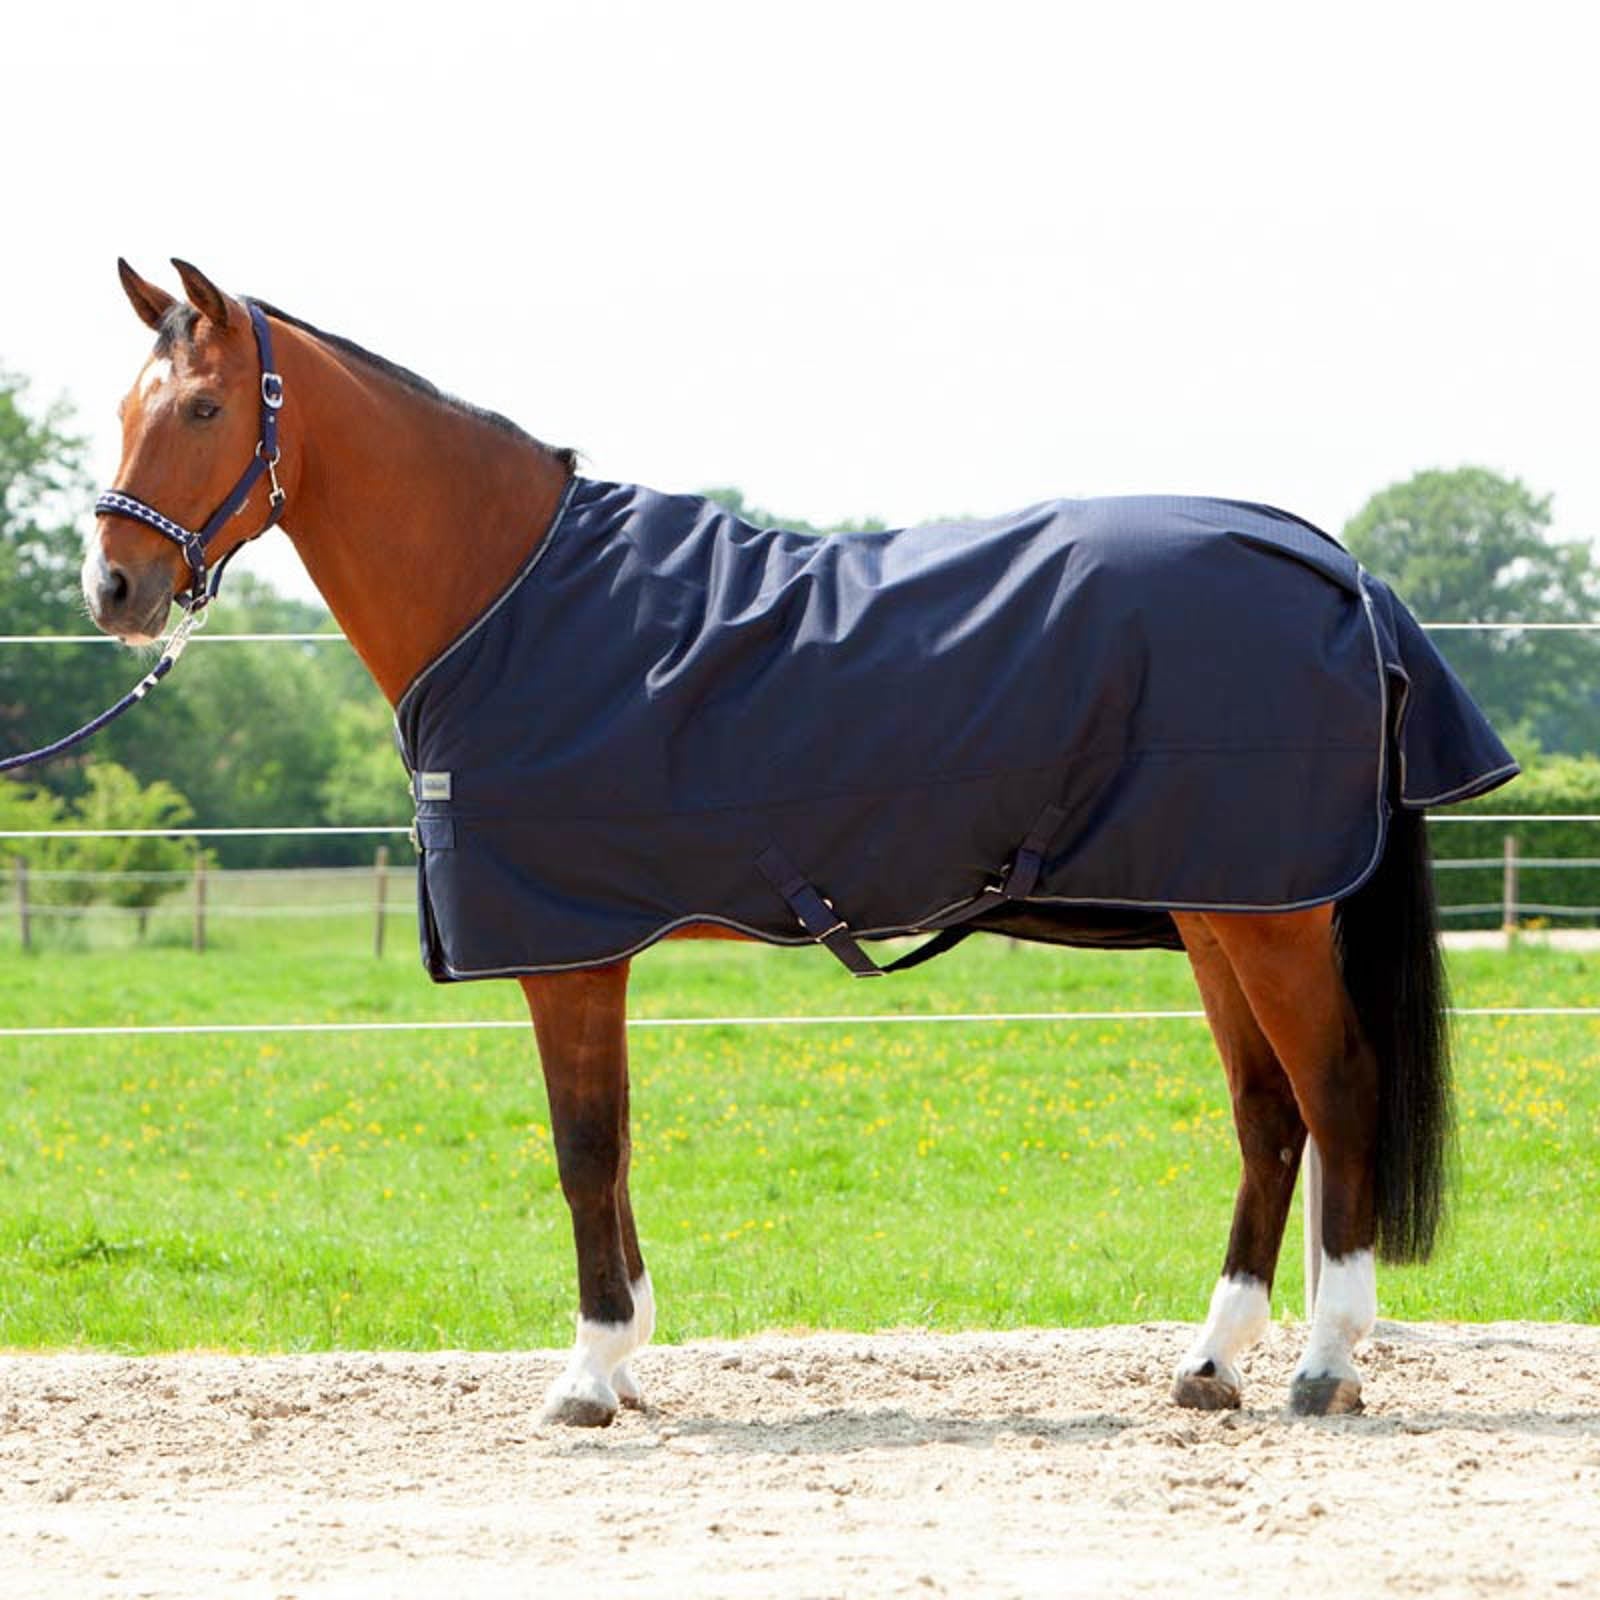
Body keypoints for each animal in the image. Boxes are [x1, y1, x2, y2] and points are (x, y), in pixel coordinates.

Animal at [82, 260, 1516, 1425]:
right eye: (121, 410)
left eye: (201, 410)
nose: (114, 589)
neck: (508, 598)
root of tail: (1335, 566)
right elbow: (612, 1147)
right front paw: (627, 1358)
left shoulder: (569, 951)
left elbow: (583, 1148)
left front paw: (590, 1371)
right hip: (1221, 901)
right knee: (1268, 1115)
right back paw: (1210, 1361)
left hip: (1268, 914)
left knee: (1338, 1091)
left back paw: (1324, 1367)